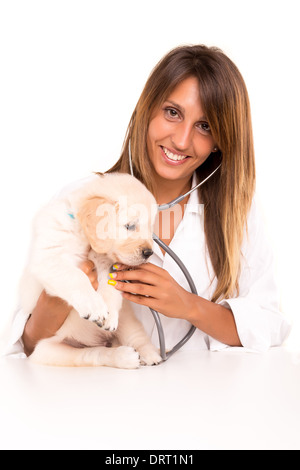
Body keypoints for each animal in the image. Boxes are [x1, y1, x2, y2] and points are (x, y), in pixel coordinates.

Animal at [19, 173, 162, 368]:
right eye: (130, 226)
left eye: (150, 227)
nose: (149, 253)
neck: (83, 236)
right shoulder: (49, 258)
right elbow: (76, 276)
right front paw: (95, 306)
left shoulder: (107, 265)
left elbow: (109, 289)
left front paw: (109, 315)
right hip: (47, 350)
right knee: (93, 354)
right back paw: (124, 356)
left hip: (127, 319)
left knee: (135, 335)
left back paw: (149, 353)